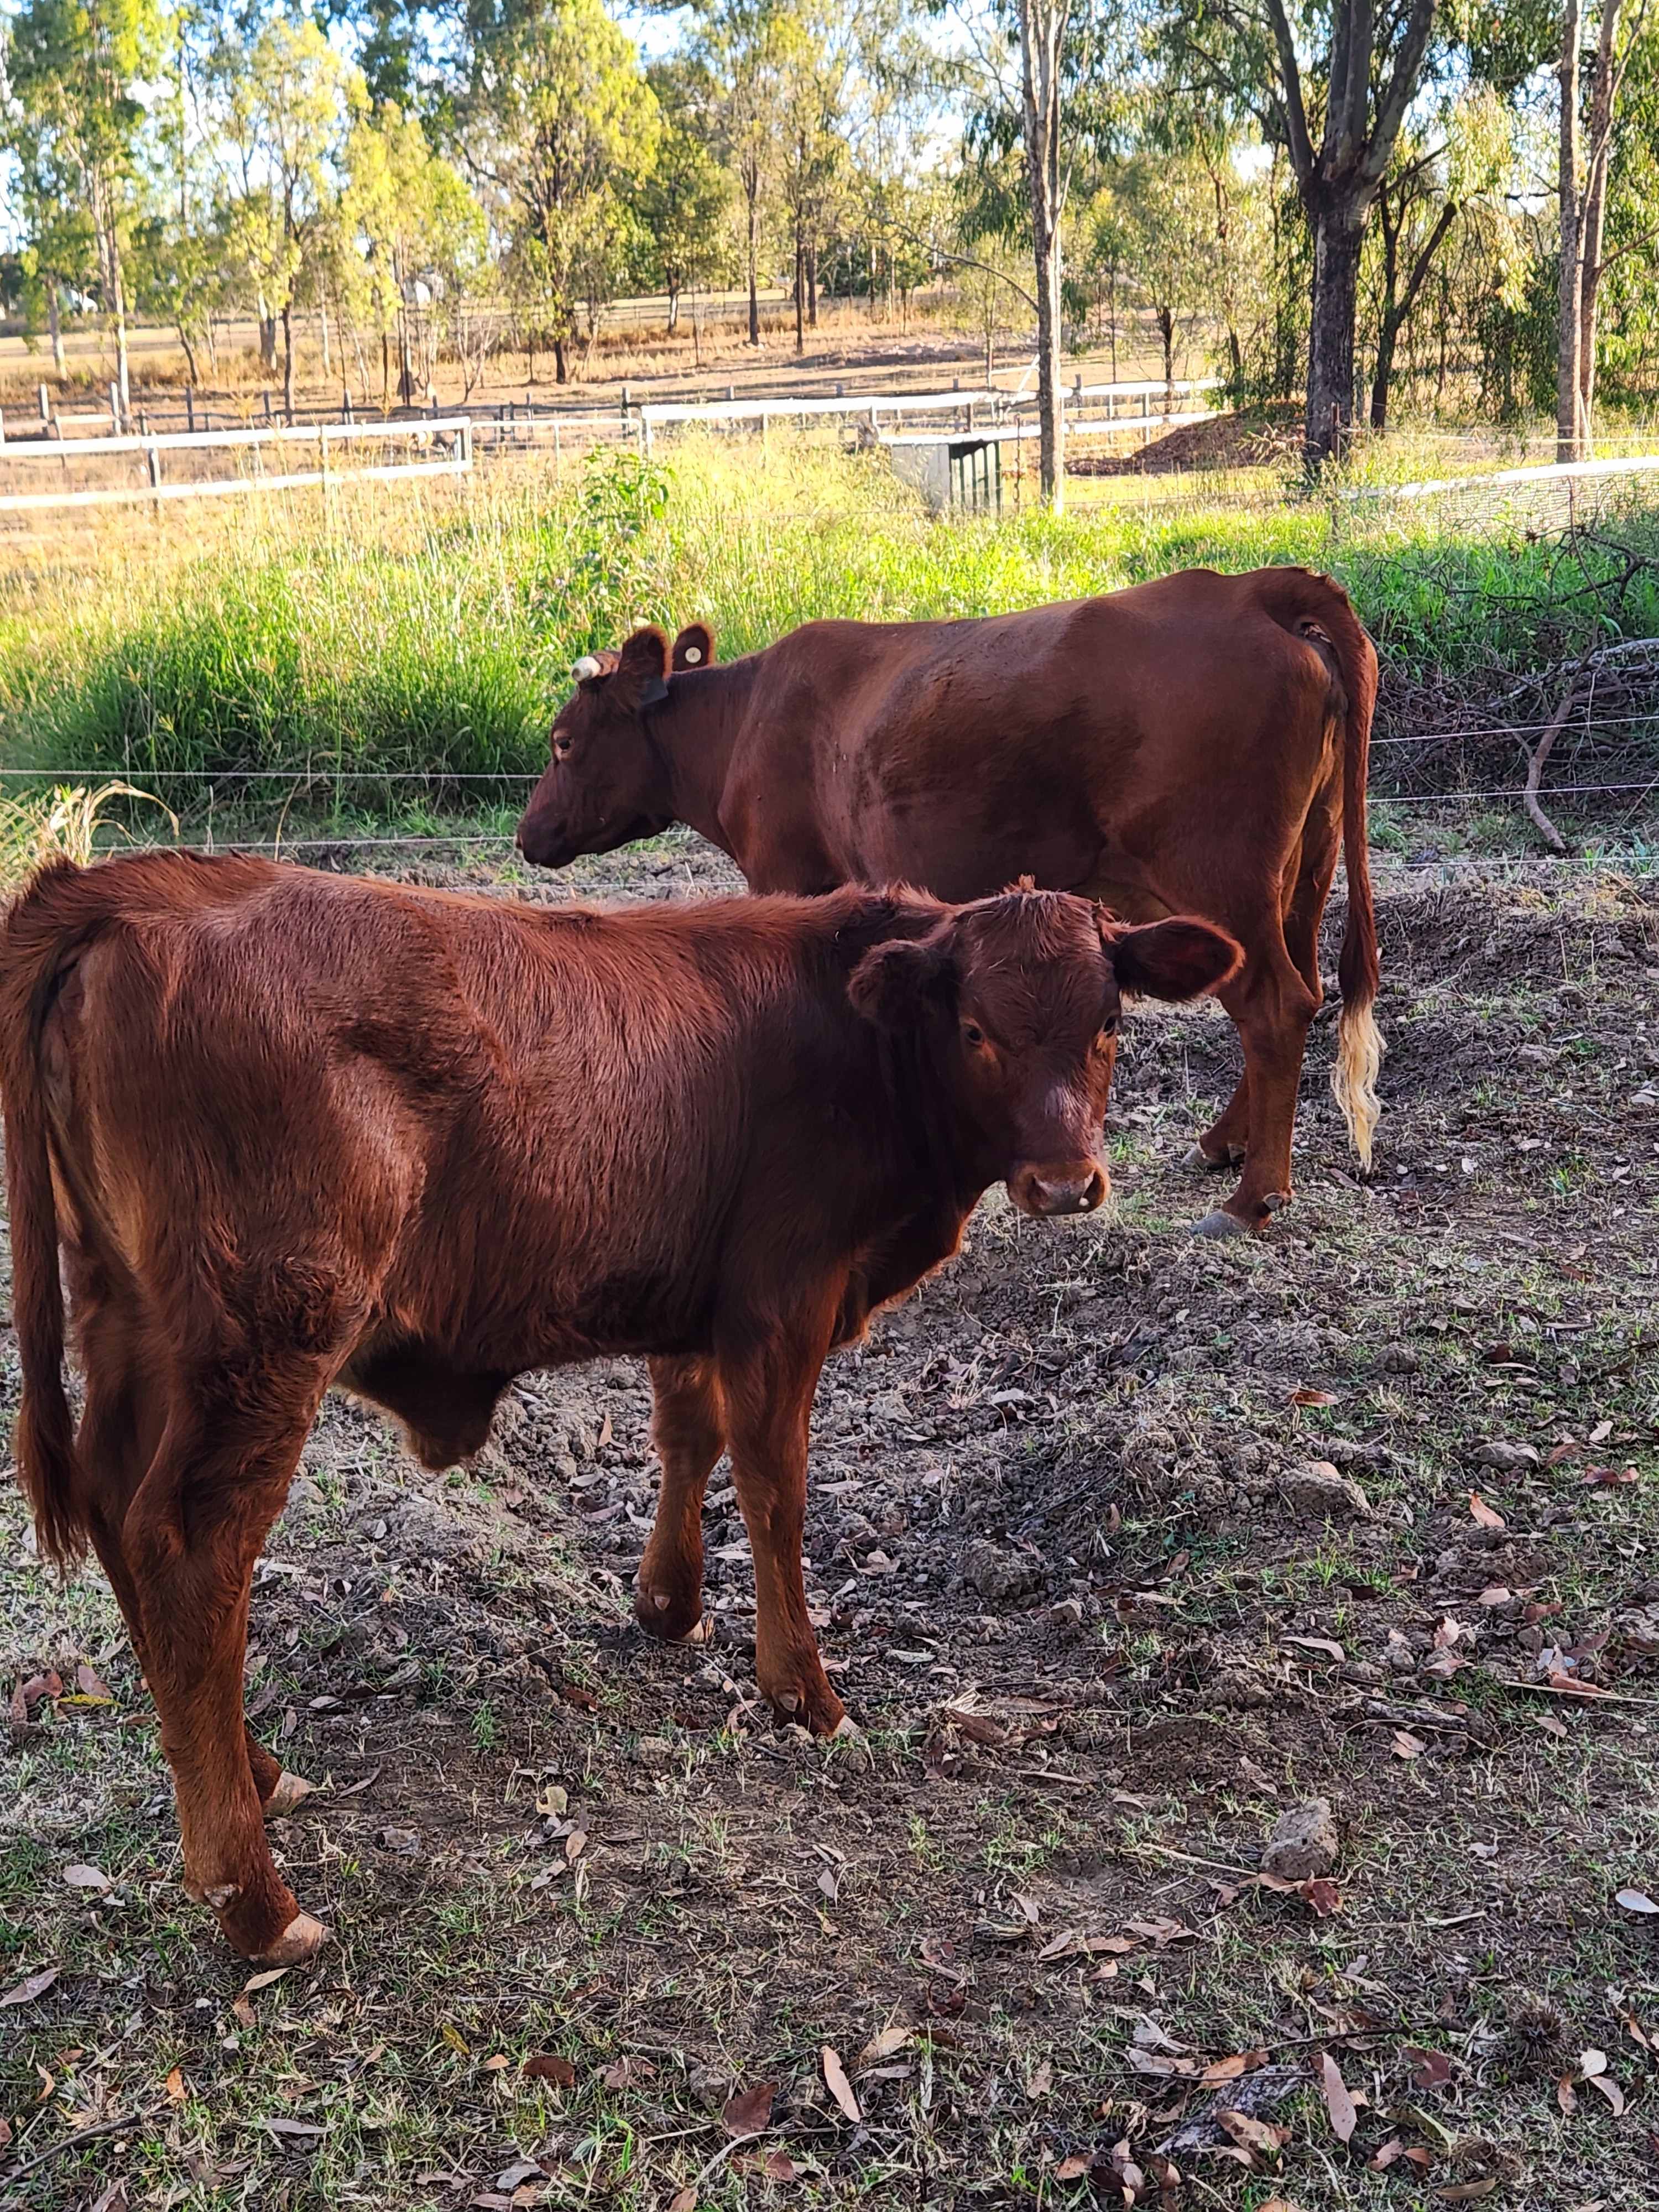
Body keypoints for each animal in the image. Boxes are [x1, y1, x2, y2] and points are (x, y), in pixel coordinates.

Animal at [0, 852, 1239, 1962]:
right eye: (977, 1029)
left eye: (1110, 1023)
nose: (1067, 1184)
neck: (863, 1046)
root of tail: (136, 884)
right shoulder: (781, 1299)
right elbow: (776, 1484)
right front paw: (803, 1688)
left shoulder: (694, 1306)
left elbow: (688, 1433)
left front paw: (669, 1602)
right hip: (266, 1337)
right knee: (190, 1549)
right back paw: (255, 1896)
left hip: (132, 1321)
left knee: (117, 1510)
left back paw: (251, 1772)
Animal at [515, 567, 1382, 1238]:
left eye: (563, 742)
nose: (527, 834)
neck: (745, 718)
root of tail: (1247, 587)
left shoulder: (790, 877)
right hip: (1299, 876)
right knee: (1296, 994)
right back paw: (1222, 1144)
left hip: (1219, 875)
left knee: (1271, 1005)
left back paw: (1251, 1199)